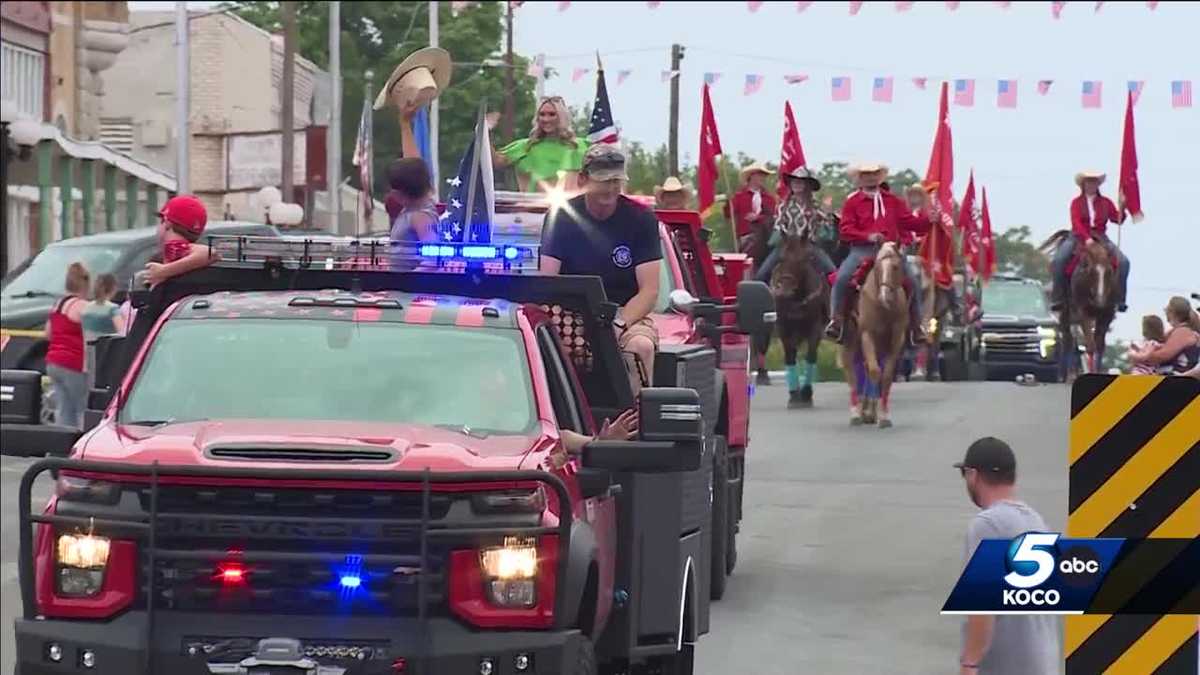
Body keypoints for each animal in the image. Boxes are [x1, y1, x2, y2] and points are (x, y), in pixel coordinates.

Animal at [772, 236, 830, 403]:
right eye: (781, 257)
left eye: (804, 259)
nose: (784, 290)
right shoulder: (783, 328)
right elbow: (789, 356)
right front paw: (794, 394)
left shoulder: (815, 327)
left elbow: (810, 355)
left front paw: (806, 392)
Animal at [844, 241, 907, 425]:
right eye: (878, 266)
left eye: (895, 266)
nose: (884, 296)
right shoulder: (867, 334)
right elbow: (874, 371)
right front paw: (869, 412)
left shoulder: (896, 339)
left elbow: (886, 376)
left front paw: (883, 415)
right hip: (850, 339)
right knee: (851, 369)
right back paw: (856, 413)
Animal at [1046, 230, 1118, 374]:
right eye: (1090, 271)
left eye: (1109, 271)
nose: (1100, 300)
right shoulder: (1083, 312)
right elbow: (1090, 345)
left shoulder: (1107, 313)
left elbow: (1099, 346)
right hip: (1064, 314)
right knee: (1067, 340)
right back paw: (1066, 373)